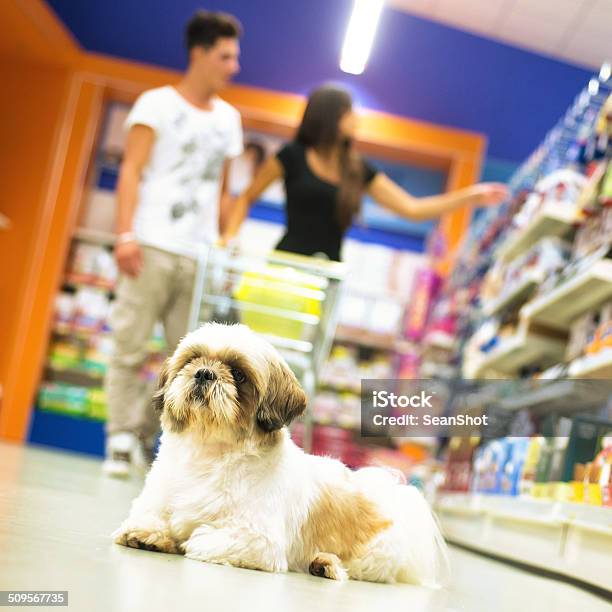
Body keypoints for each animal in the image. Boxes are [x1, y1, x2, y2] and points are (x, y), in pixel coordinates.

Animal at [115, 322, 448, 584]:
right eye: (192, 359)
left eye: (238, 374)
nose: (204, 373)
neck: (210, 453)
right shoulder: (155, 500)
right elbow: (148, 517)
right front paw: (149, 534)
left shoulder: (258, 541)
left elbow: (200, 538)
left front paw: (182, 540)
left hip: (376, 554)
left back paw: (325, 564)